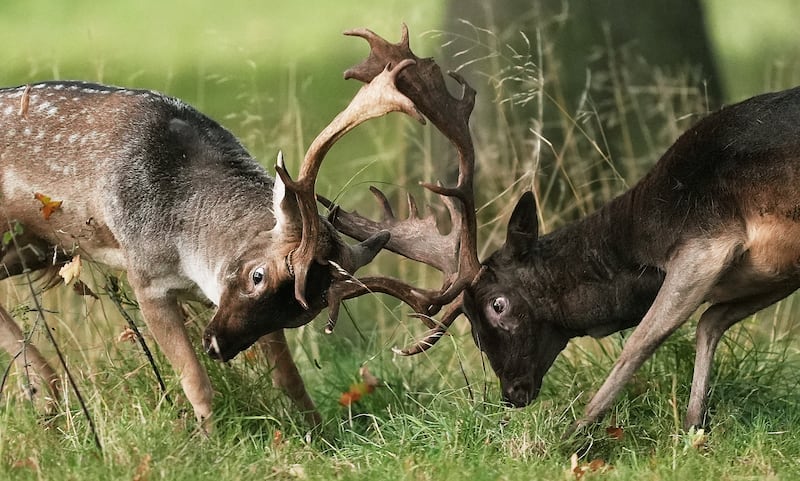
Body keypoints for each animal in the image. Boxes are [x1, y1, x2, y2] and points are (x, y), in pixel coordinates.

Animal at [0, 55, 422, 428]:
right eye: (257, 275)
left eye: (301, 314)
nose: (219, 345)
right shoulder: (146, 279)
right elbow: (196, 382)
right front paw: (208, 439)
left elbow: (289, 378)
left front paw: (319, 433)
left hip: (33, 248)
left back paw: (45, 391)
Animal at [324, 24, 800, 434]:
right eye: (472, 329)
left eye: (498, 305)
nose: (512, 394)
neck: (639, 247)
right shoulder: (774, 272)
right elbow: (710, 322)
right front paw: (692, 426)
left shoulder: (706, 242)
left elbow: (641, 340)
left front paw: (574, 433)